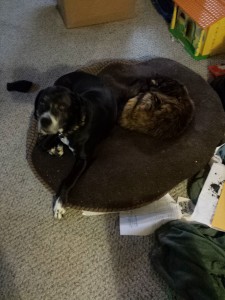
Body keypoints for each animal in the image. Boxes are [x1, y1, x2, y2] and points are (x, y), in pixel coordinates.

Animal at [34, 71, 118, 219]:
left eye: (62, 107)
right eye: (42, 102)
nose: (44, 121)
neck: (74, 125)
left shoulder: (83, 159)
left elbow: (68, 180)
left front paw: (60, 204)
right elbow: (43, 145)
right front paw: (55, 147)